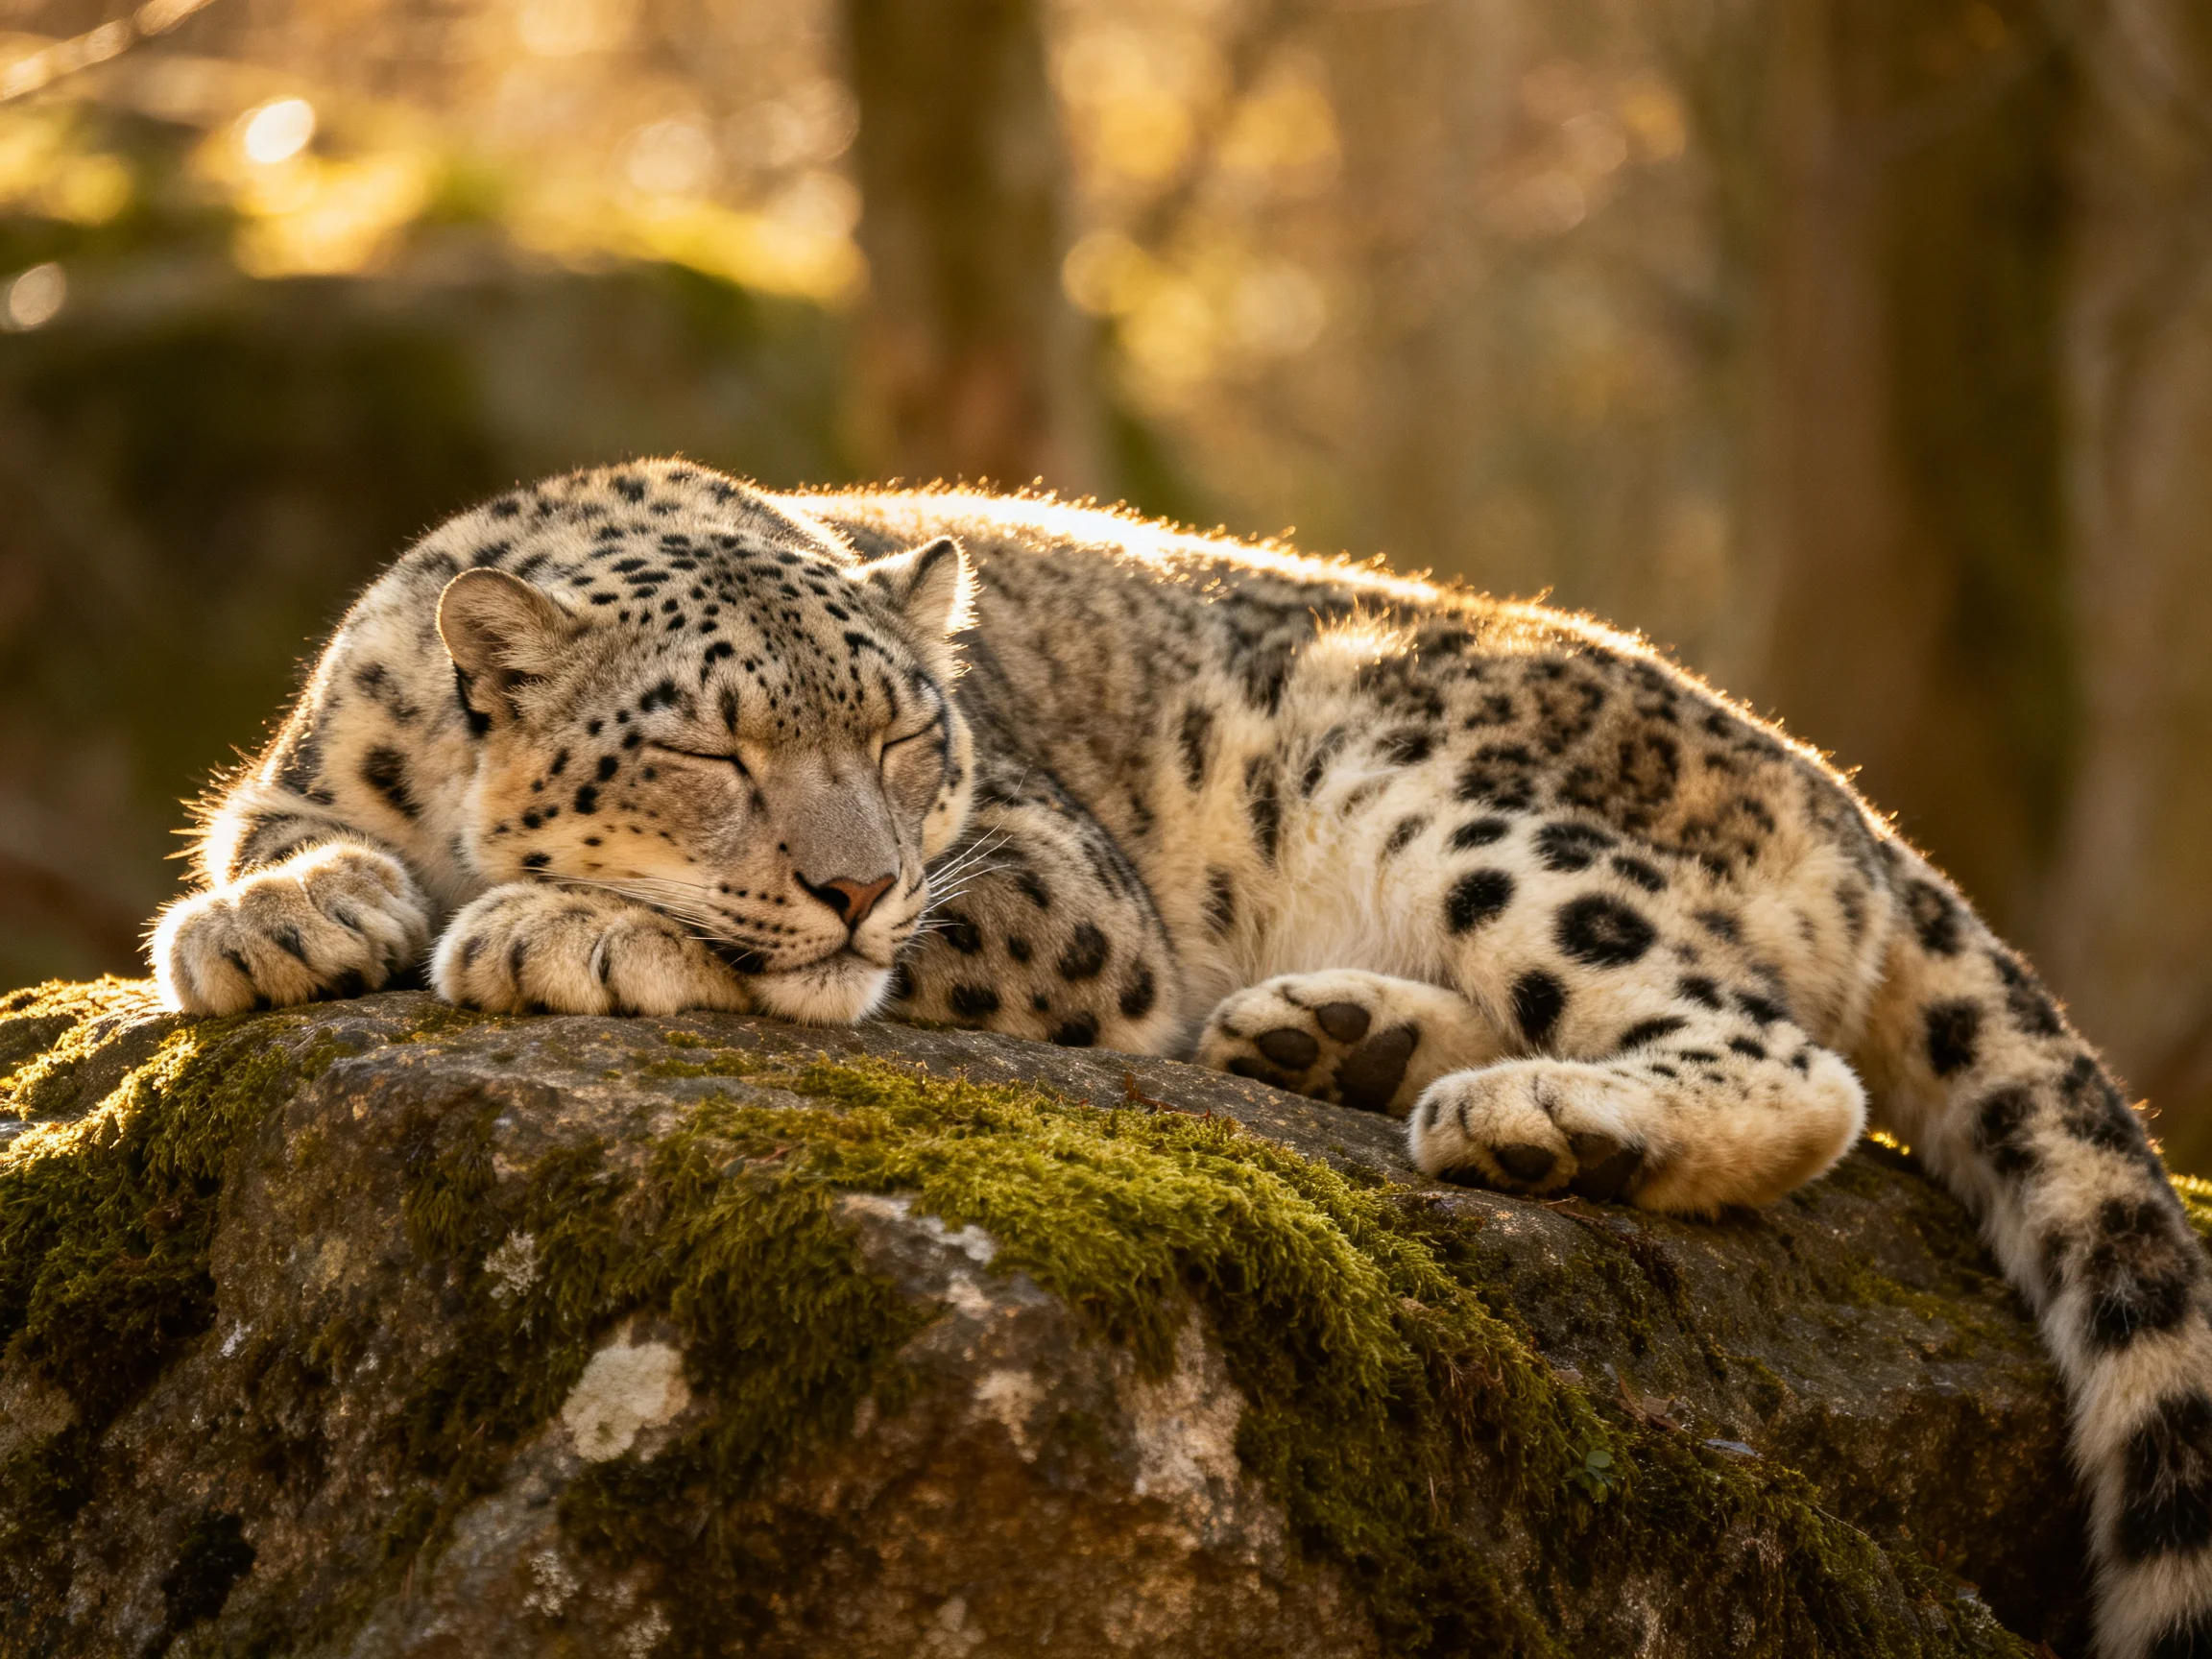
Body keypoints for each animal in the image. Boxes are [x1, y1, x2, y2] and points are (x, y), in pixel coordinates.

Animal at [150, 459, 2212, 1658]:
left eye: (909, 736)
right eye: (704, 747)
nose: (852, 880)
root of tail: (1838, 795)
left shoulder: (1050, 885)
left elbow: (850, 947)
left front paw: (556, 925)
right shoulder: (298, 767)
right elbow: (269, 830)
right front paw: (276, 918)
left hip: (1460, 798)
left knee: (1789, 1063)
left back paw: (1533, 1118)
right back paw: (1329, 1030)